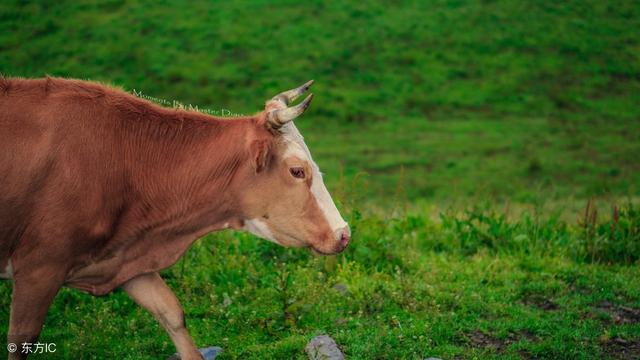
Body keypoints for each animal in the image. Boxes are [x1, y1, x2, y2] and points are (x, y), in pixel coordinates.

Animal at [0, 77, 350, 358]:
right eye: (297, 170)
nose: (344, 233)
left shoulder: (125, 260)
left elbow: (172, 313)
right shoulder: (39, 267)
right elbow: (21, 339)